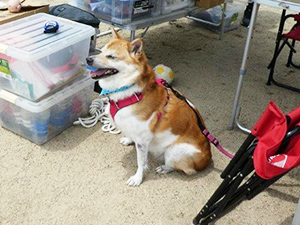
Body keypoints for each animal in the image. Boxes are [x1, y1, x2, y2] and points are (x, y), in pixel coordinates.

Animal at [85, 28, 211, 186]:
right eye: (101, 51)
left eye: (111, 56)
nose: (88, 59)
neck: (129, 89)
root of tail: (208, 158)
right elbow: (131, 136)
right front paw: (128, 139)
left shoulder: (143, 140)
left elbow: (141, 162)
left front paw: (138, 178)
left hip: (174, 151)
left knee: (186, 169)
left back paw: (164, 168)